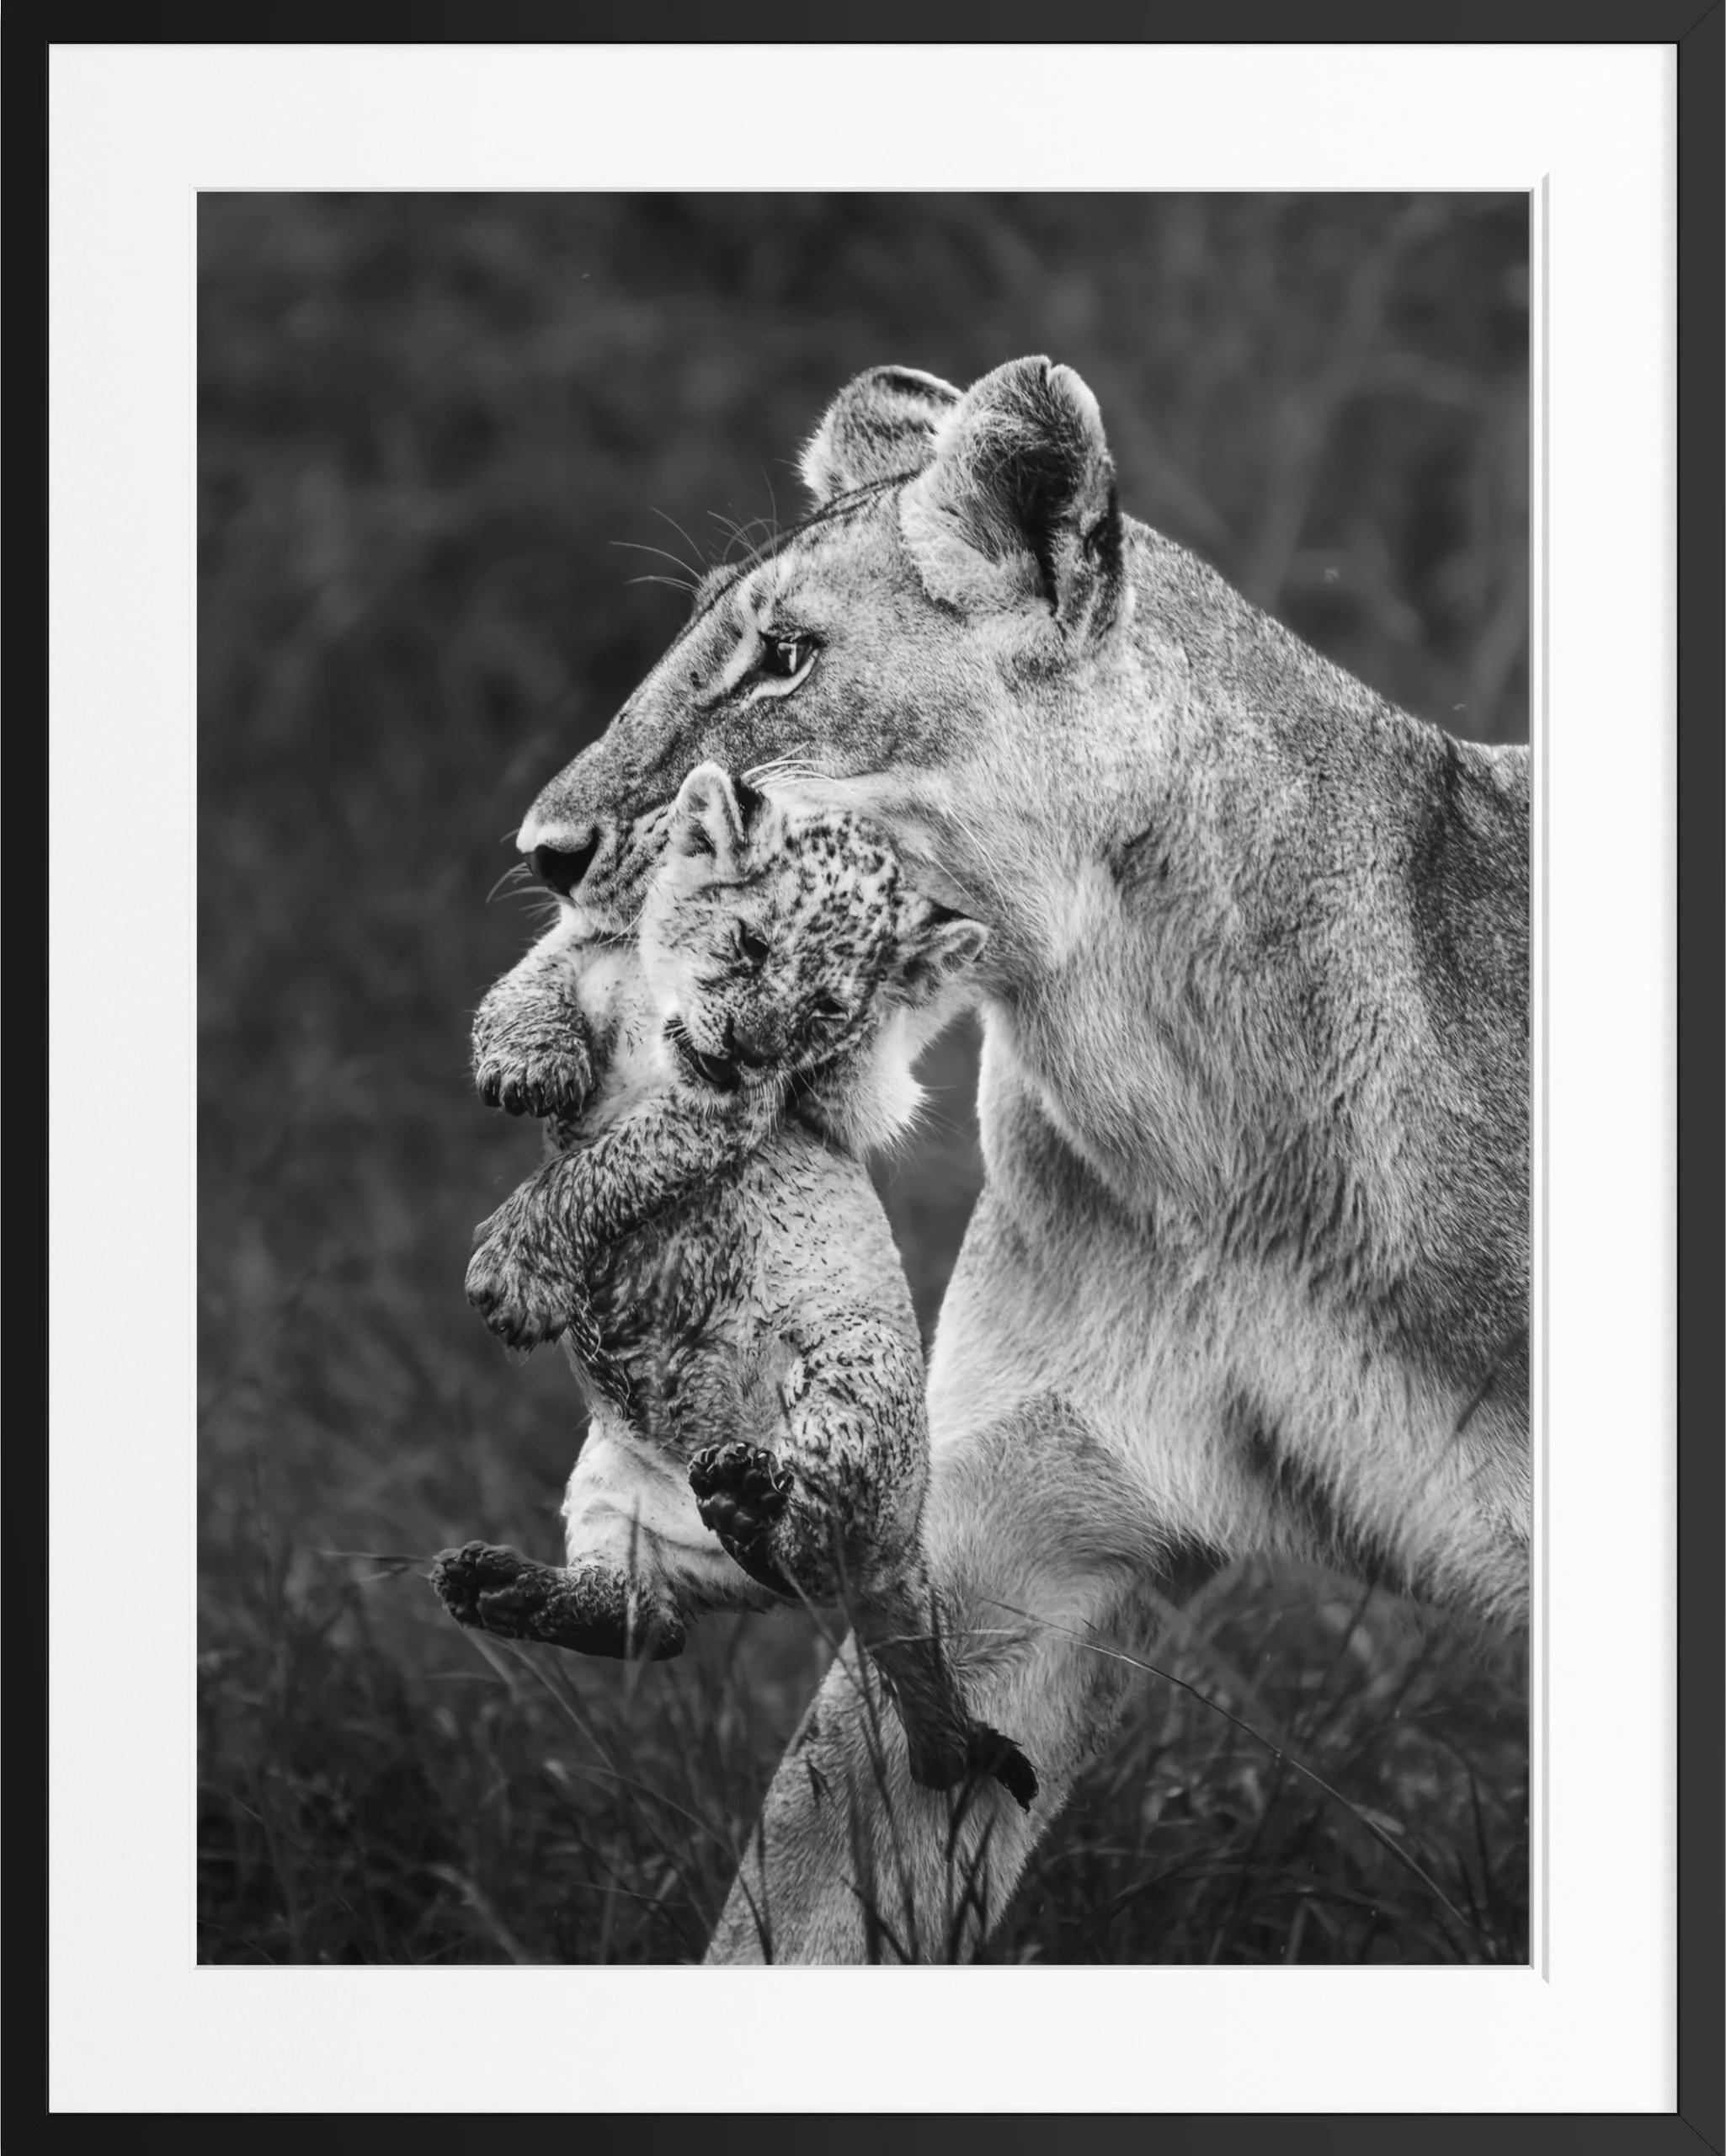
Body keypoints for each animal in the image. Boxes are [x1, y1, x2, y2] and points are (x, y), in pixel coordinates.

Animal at [434, 760, 1037, 1808]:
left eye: (830, 1010)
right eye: (751, 943)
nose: (748, 1047)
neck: (654, 1004)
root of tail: (902, 1562)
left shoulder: (716, 1114)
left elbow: (598, 1173)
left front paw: (514, 1275)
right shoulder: (591, 963)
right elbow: (539, 969)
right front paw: (524, 1060)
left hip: (851, 1389)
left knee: (814, 1553)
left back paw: (756, 1507)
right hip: (608, 1496)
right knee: (655, 1623)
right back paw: (502, 1589)